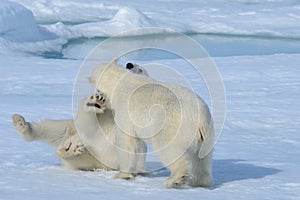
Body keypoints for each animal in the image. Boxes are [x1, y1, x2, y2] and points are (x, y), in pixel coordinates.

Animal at [12, 63, 148, 171]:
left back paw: (70, 149)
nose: (129, 64)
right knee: (51, 128)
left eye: (141, 69)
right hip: (70, 128)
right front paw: (96, 100)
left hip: (98, 156)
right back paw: (20, 122)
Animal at [88, 59, 214, 188]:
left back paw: (174, 179)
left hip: (171, 126)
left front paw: (122, 175)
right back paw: (199, 182)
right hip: (207, 135)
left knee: (170, 149)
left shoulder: (125, 111)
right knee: (202, 159)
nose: (129, 64)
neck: (120, 81)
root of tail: (201, 117)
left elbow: (127, 141)